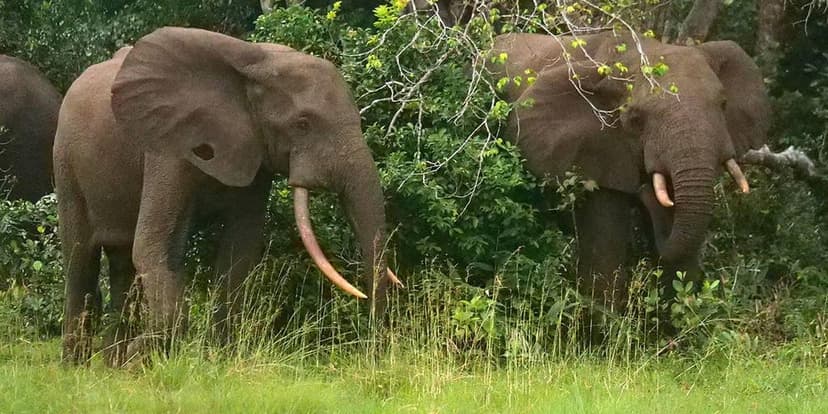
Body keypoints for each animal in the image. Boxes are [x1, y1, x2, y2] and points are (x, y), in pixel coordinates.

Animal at [55, 27, 400, 365]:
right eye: (302, 124)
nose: (374, 356)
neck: (256, 65)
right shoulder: (167, 147)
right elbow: (153, 245)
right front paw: (141, 355)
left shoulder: (255, 154)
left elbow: (240, 250)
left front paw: (218, 359)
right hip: (65, 162)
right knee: (80, 259)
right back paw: (77, 365)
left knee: (122, 263)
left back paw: (111, 366)